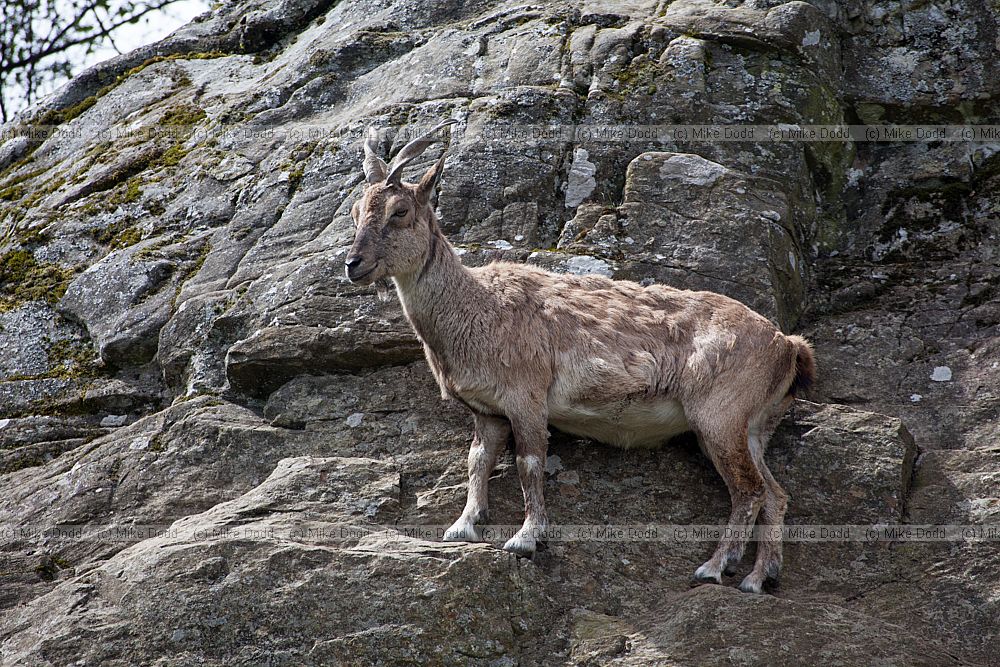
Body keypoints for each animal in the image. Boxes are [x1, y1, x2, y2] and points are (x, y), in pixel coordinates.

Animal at [344, 120, 816, 594]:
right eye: (355, 211)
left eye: (400, 210)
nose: (353, 263)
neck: (477, 308)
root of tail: (787, 345)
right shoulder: (487, 410)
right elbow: (477, 461)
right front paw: (463, 525)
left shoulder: (527, 397)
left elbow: (529, 463)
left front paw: (526, 537)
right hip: (752, 426)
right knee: (775, 494)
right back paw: (759, 576)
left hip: (719, 414)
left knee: (749, 490)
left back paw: (716, 566)